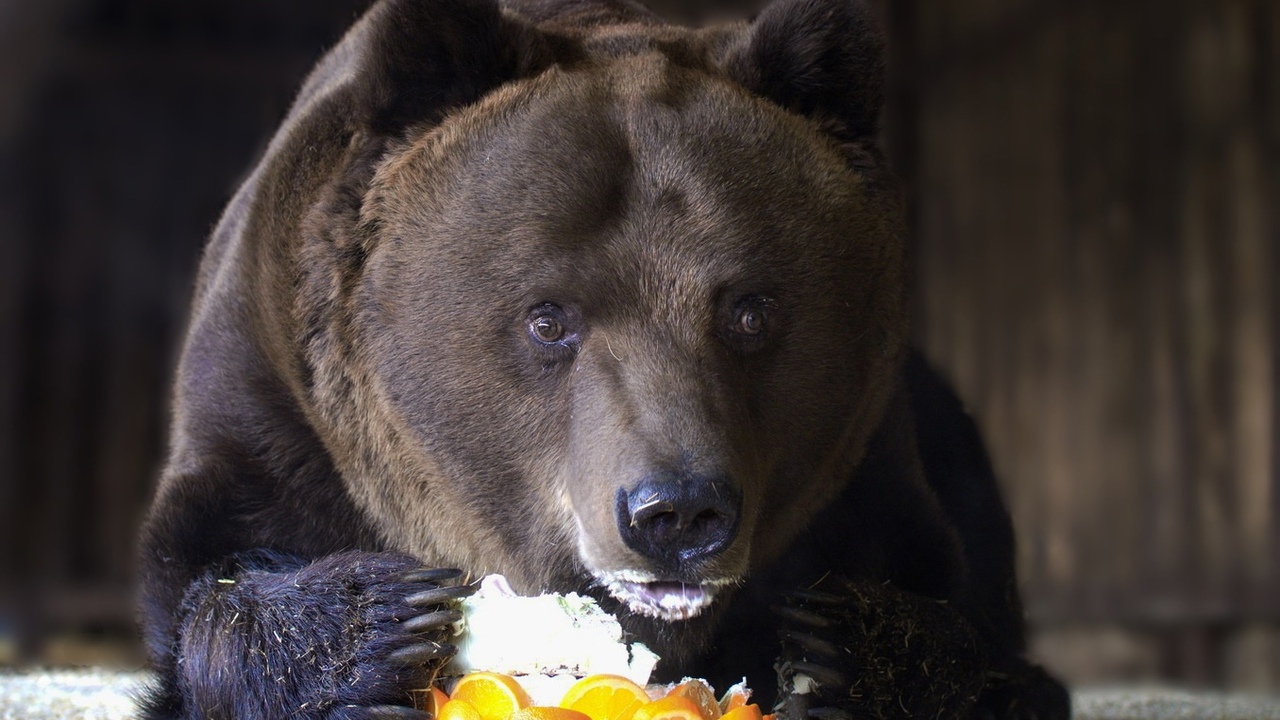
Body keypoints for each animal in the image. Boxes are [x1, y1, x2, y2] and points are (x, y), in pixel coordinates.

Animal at [137, 1, 1070, 717]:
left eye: (750, 310)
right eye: (549, 318)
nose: (678, 513)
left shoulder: (871, 454)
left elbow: (957, 614)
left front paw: (838, 647)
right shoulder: (270, 402)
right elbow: (206, 571)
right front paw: (380, 625)